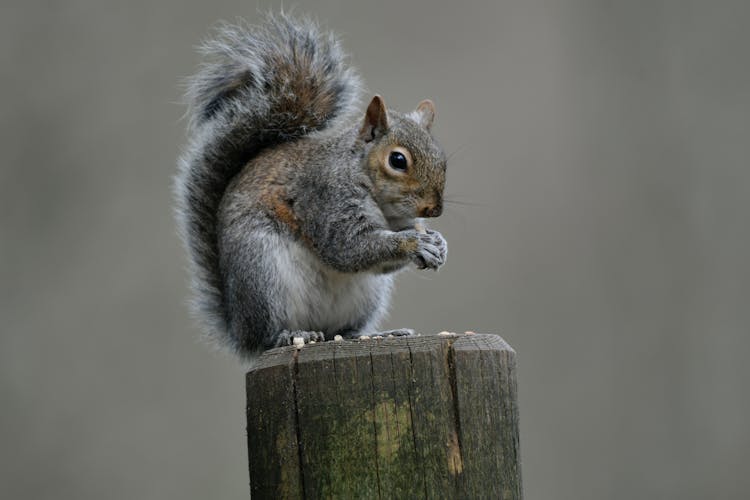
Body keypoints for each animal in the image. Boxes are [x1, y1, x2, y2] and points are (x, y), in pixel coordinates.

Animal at [176, 12, 446, 360]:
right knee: (269, 335)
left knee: (342, 331)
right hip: (264, 274)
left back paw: (378, 333)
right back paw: (291, 335)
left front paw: (438, 243)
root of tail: (239, 329)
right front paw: (415, 243)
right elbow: (347, 247)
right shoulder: (325, 198)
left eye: (442, 158)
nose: (434, 209)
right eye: (397, 160)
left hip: (365, 297)